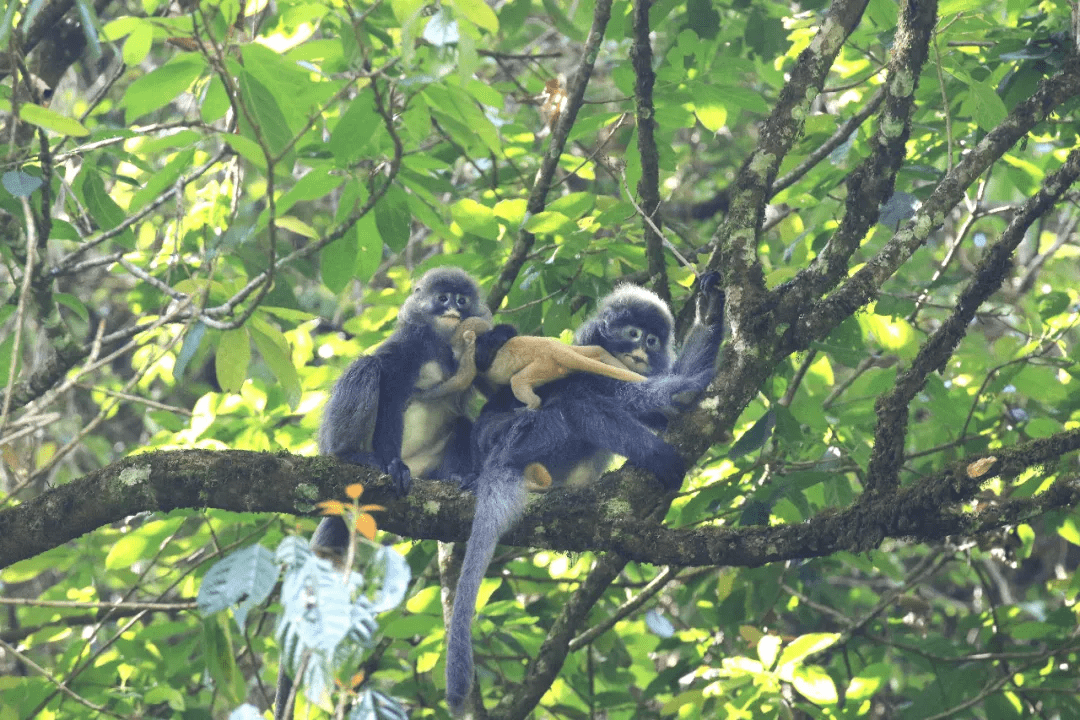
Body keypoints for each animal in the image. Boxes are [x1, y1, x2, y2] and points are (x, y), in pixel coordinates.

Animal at [442, 273, 730, 712]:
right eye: (633, 335)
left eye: (652, 341)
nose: (640, 353)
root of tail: (496, 457)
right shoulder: (594, 354)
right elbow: (625, 395)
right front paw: (685, 391)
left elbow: (657, 406)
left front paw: (710, 312)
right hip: (528, 436)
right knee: (578, 403)